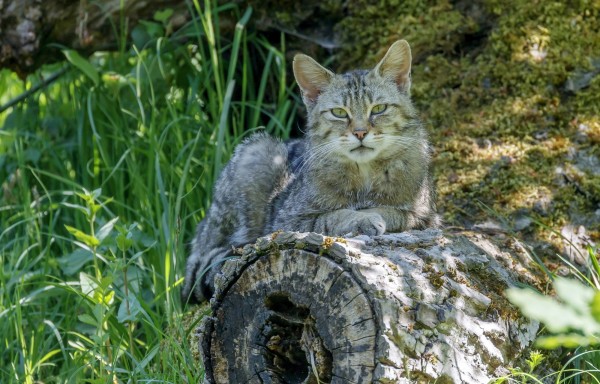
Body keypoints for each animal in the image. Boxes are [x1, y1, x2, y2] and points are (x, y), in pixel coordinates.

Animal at [180, 39, 438, 304]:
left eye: (379, 108)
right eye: (339, 112)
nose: (360, 132)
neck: (364, 175)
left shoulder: (426, 216)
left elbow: (395, 212)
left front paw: (372, 213)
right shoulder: (286, 222)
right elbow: (330, 217)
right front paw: (361, 217)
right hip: (257, 150)